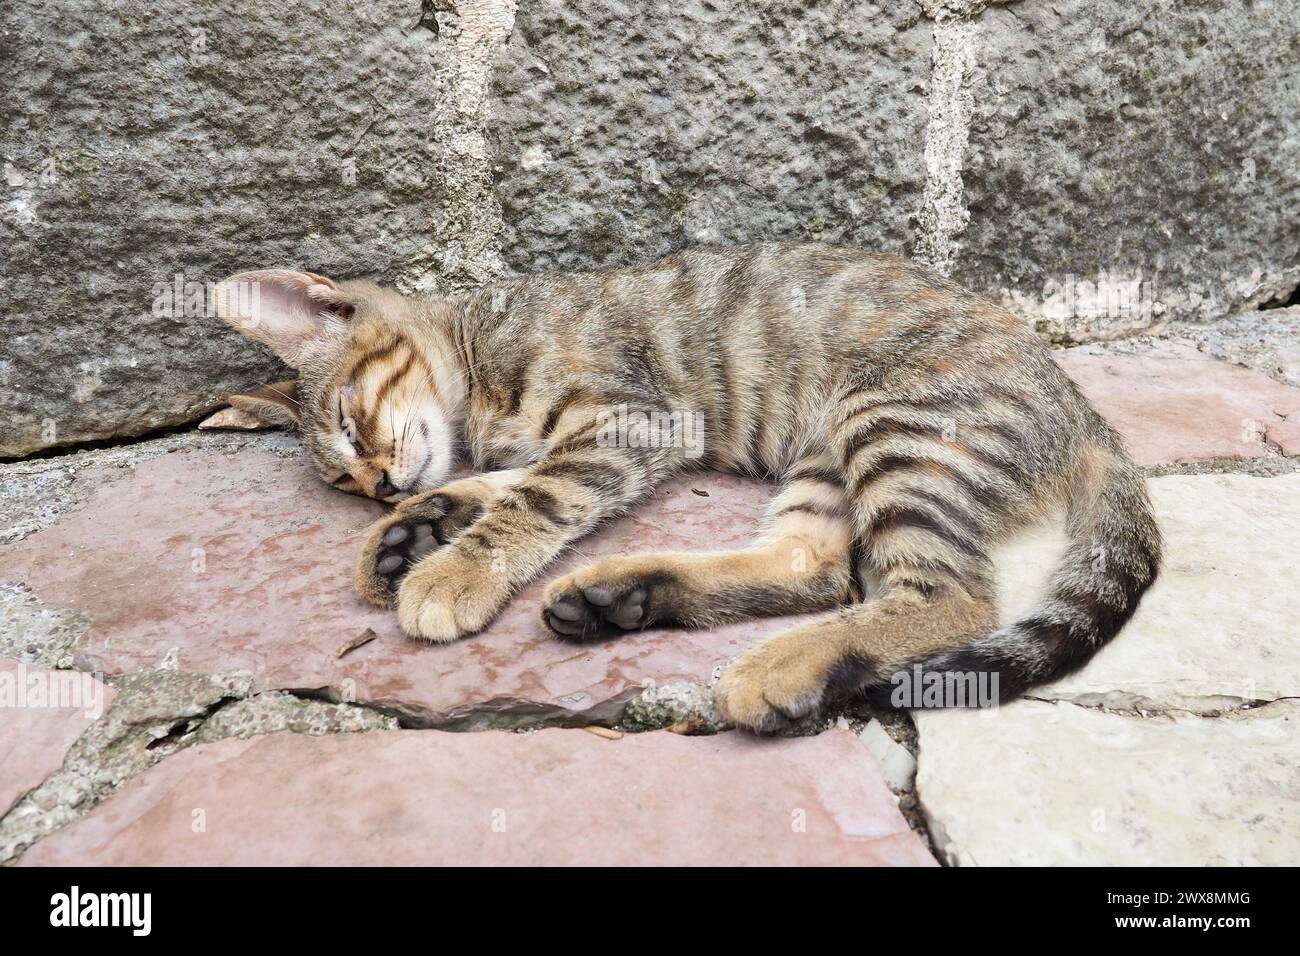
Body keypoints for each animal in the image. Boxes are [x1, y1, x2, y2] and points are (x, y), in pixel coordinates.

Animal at [213, 244, 1159, 733]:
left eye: (348, 419)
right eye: (345, 483)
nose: (377, 484)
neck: (477, 357)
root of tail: (1080, 406)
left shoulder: (635, 421)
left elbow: (538, 495)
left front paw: (452, 570)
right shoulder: (606, 436)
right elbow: (510, 480)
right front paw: (415, 528)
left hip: (898, 429)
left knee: (949, 596)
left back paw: (777, 665)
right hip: (832, 456)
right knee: (817, 568)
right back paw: (626, 595)